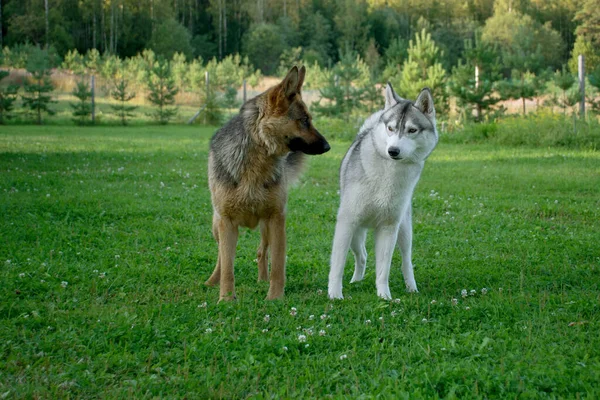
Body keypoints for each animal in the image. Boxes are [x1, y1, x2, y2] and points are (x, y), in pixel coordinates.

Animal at [207, 67, 330, 302]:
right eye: (304, 120)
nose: (328, 147)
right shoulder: (227, 222)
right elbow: (227, 266)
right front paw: (226, 299)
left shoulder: (276, 219)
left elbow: (278, 264)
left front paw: (275, 297)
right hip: (217, 226)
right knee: (220, 256)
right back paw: (212, 281)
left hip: (265, 227)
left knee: (261, 252)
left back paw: (262, 279)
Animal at [328, 83, 440, 298]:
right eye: (390, 128)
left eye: (412, 130)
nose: (393, 151)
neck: (389, 173)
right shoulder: (346, 223)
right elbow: (338, 265)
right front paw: (335, 295)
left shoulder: (389, 227)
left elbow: (383, 269)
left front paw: (384, 296)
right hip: (355, 234)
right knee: (362, 255)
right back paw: (356, 280)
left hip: (404, 231)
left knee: (406, 261)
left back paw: (411, 287)